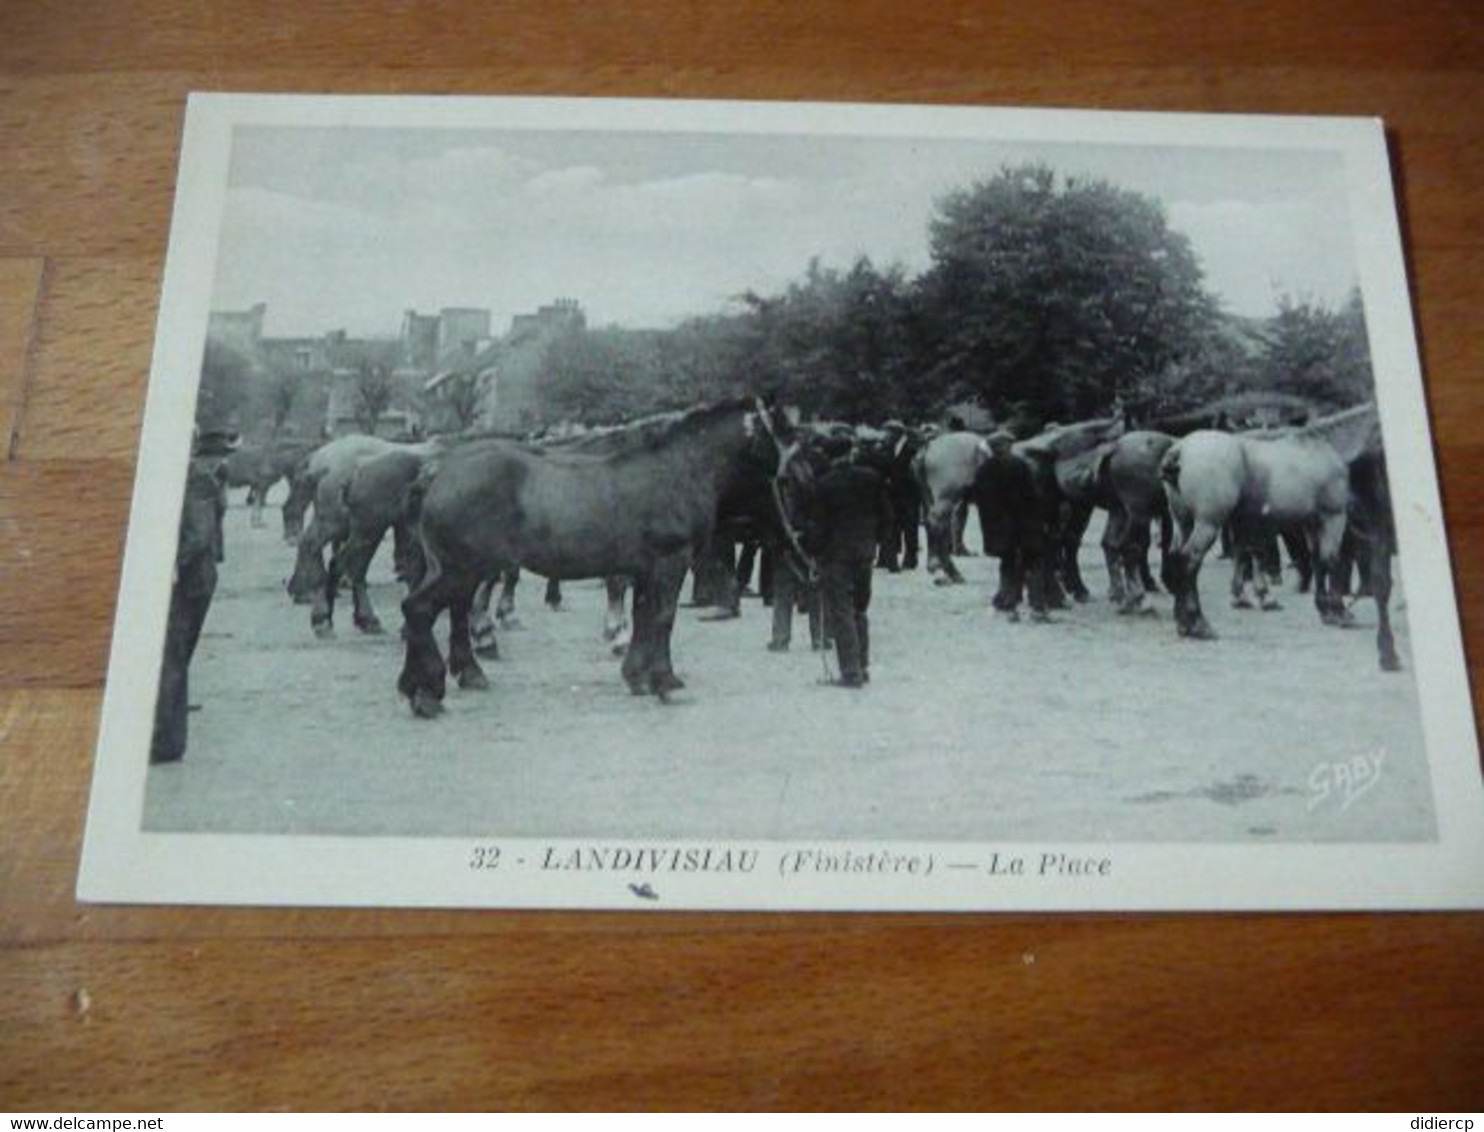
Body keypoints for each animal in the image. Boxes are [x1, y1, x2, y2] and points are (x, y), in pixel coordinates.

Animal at [391, 397, 789, 718]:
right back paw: (426, 692)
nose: (789, 478)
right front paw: (666, 681)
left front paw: (636, 675)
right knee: (420, 609)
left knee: (436, 610)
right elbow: (663, 617)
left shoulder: (644, 569)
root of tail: (438, 473)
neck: (674, 471)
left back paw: (441, 680)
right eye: (781, 434)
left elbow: (643, 616)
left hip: (455, 569)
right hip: (460, 569)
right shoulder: (670, 563)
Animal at [1157, 406, 1377, 637]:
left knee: (1176, 557)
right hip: (1207, 525)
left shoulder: (1311, 523)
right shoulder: (1333, 518)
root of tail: (1181, 448)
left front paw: (1324, 609)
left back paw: (1183, 621)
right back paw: (1198, 624)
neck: (1322, 449)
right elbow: (1330, 560)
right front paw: (1338, 612)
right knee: (1189, 561)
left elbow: (1317, 561)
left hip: (1184, 524)